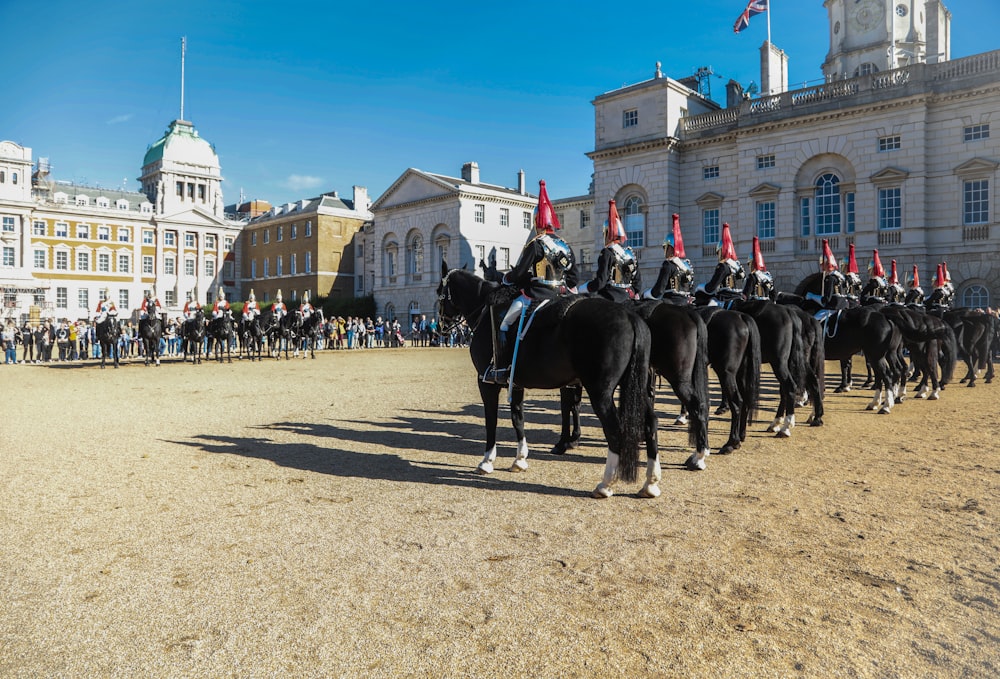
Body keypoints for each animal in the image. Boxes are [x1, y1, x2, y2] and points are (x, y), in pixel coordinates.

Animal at [436, 266, 656, 500]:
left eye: (439, 291)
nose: (441, 327)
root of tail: (630, 316)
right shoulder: (516, 383)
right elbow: (518, 418)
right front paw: (520, 459)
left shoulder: (486, 383)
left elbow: (491, 421)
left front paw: (487, 461)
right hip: (635, 387)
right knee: (650, 424)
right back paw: (650, 483)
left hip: (600, 392)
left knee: (614, 430)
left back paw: (605, 484)